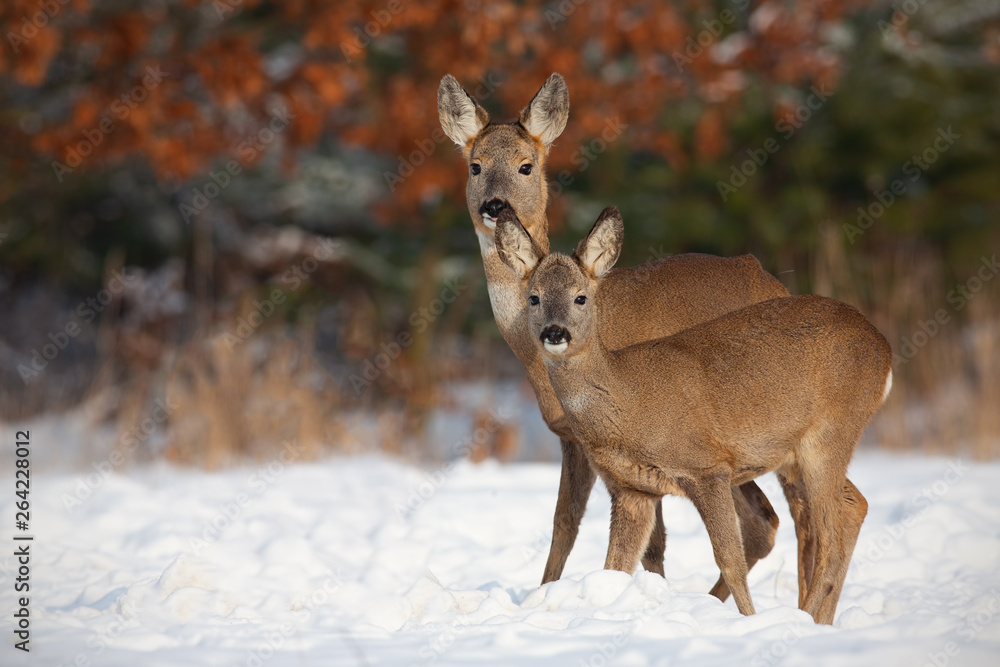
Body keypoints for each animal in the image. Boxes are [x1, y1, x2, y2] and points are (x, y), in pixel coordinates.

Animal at [437, 72, 794, 599]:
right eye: (475, 165)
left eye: (526, 166)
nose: (494, 206)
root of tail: (776, 282)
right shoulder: (570, 436)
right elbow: (566, 523)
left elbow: (636, 537)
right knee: (768, 520)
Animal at [493, 205, 893, 624]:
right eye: (534, 298)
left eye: (581, 297)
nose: (555, 333)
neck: (627, 399)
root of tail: (884, 349)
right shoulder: (632, 490)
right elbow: (614, 568)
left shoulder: (707, 467)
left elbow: (729, 560)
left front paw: (747, 620)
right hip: (799, 454)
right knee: (855, 505)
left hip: (830, 433)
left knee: (832, 533)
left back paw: (807, 619)